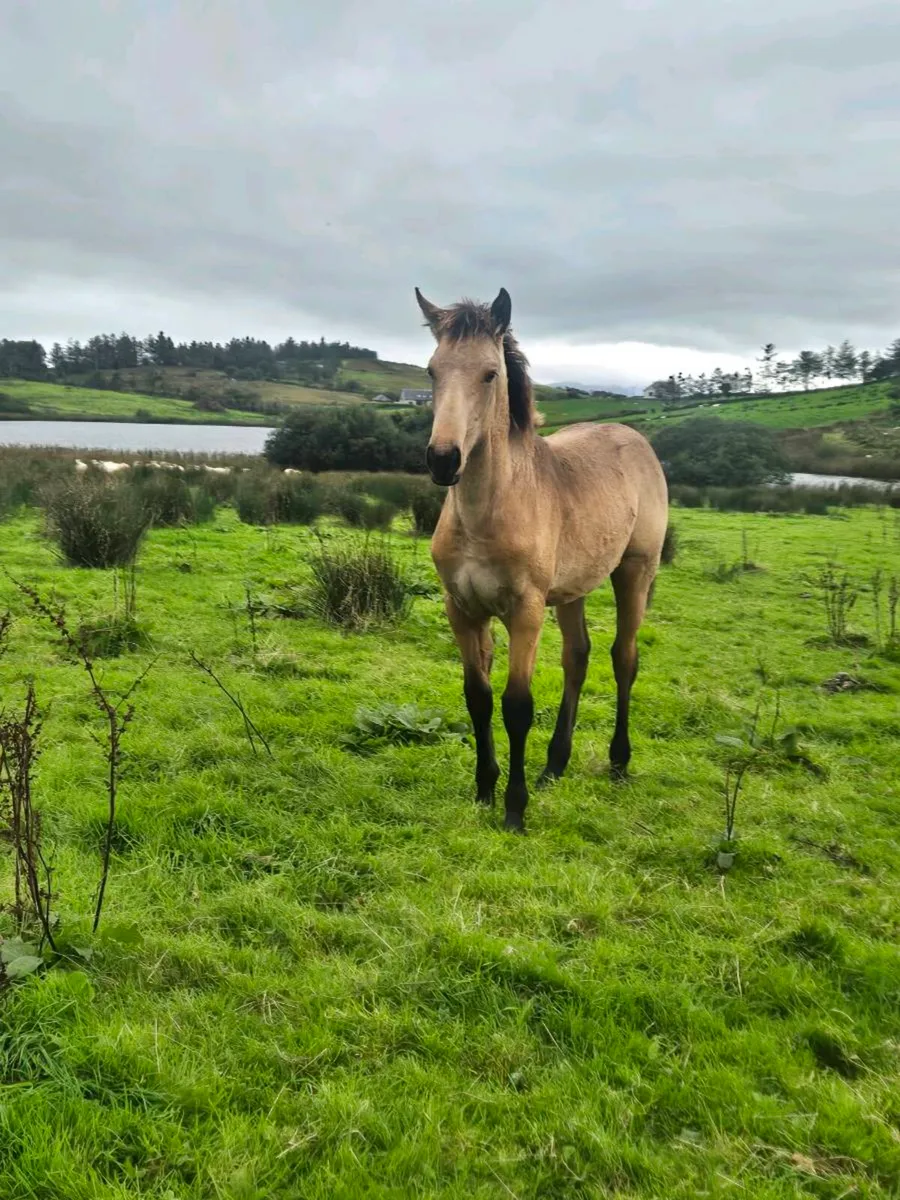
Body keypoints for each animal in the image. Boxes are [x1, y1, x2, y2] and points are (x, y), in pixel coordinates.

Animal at [416, 286, 668, 833]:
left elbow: (516, 705)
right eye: (431, 370)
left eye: (490, 373)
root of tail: (635, 438)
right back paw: (555, 764)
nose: (443, 460)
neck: (488, 511)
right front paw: (484, 790)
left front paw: (514, 808)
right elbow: (478, 697)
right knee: (578, 656)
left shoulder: (526, 612)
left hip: (635, 571)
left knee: (624, 658)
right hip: (574, 590)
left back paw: (619, 761)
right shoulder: (461, 610)